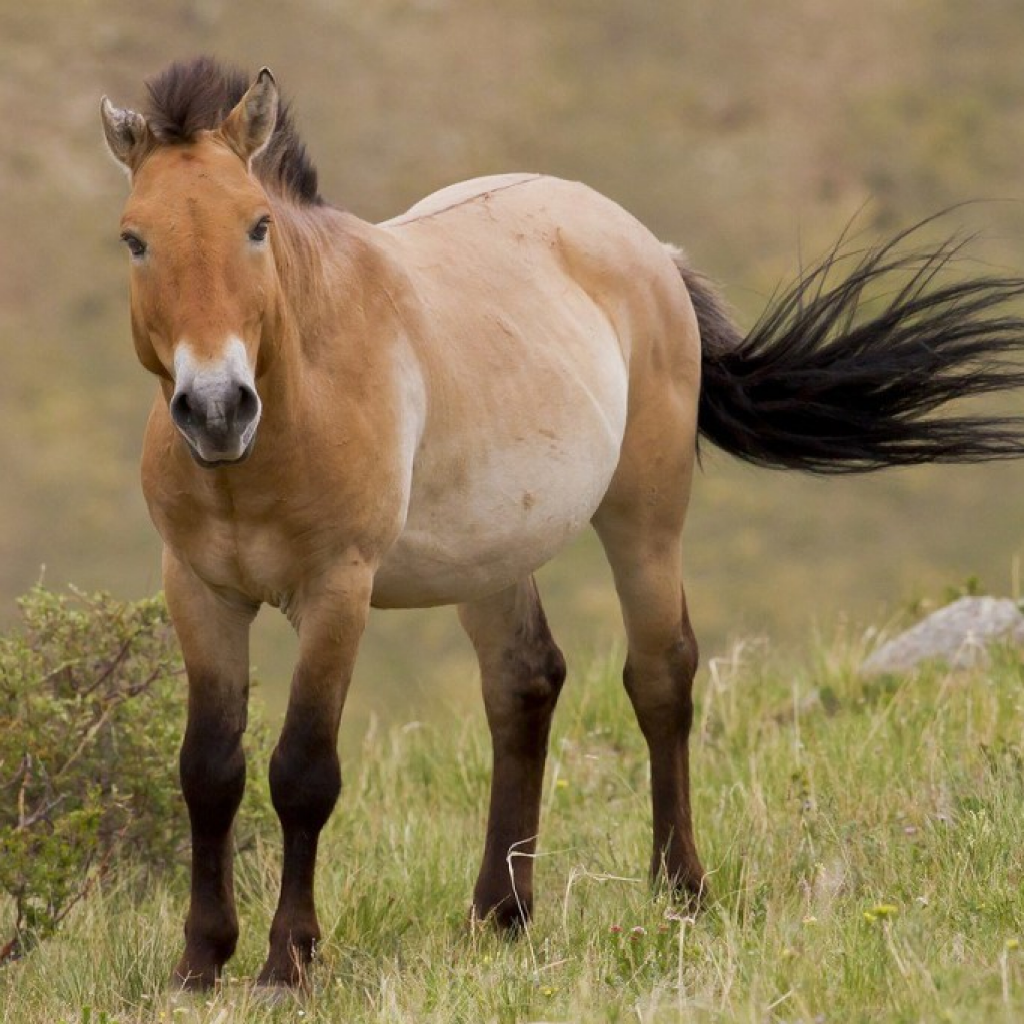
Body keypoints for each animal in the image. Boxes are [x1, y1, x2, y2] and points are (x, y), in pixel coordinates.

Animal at [101, 59, 1024, 987]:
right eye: (134, 240)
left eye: (256, 227)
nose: (217, 407)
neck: (293, 407)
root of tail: (646, 245)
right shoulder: (200, 591)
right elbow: (208, 771)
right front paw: (198, 962)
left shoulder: (337, 591)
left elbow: (302, 773)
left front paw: (287, 962)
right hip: (488, 558)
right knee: (524, 685)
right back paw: (499, 913)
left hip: (645, 516)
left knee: (660, 677)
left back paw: (680, 887)